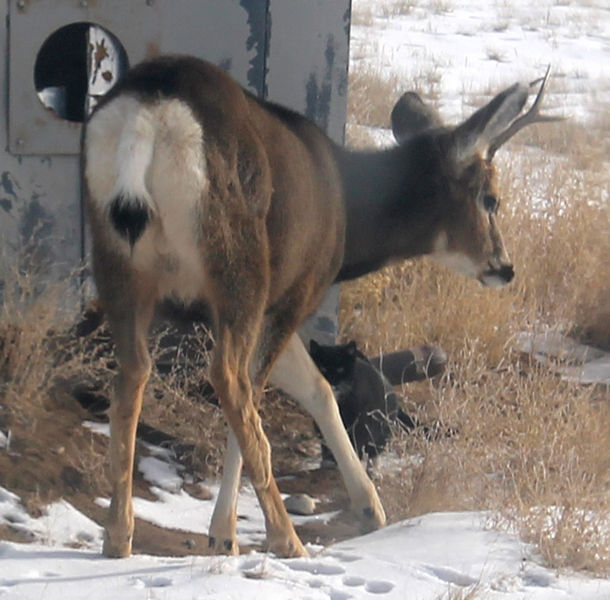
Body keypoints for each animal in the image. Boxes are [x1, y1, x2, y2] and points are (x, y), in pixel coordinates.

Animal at [83, 55, 560, 556]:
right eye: (491, 199)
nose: (504, 266)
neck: (348, 211)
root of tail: (151, 110)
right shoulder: (294, 290)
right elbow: (271, 394)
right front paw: (224, 533)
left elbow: (318, 388)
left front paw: (370, 508)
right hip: (238, 266)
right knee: (230, 380)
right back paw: (285, 538)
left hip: (117, 262)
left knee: (131, 374)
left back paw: (117, 537)